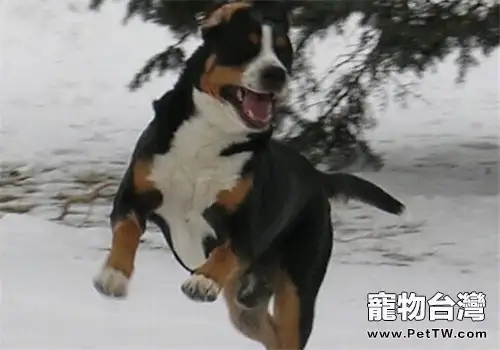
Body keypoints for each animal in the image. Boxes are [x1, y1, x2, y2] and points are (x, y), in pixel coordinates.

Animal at [94, 1, 406, 348]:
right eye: (247, 44)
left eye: (283, 52)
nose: (276, 74)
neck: (210, 137)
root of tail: (315, 176)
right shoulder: (133, 195)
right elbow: (126, 232)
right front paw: (114, 275)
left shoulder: (246, 224)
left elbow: (226, 252)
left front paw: (203, 280)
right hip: (245, 307)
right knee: (269, 333)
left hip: (297, 290)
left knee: (286, 332)